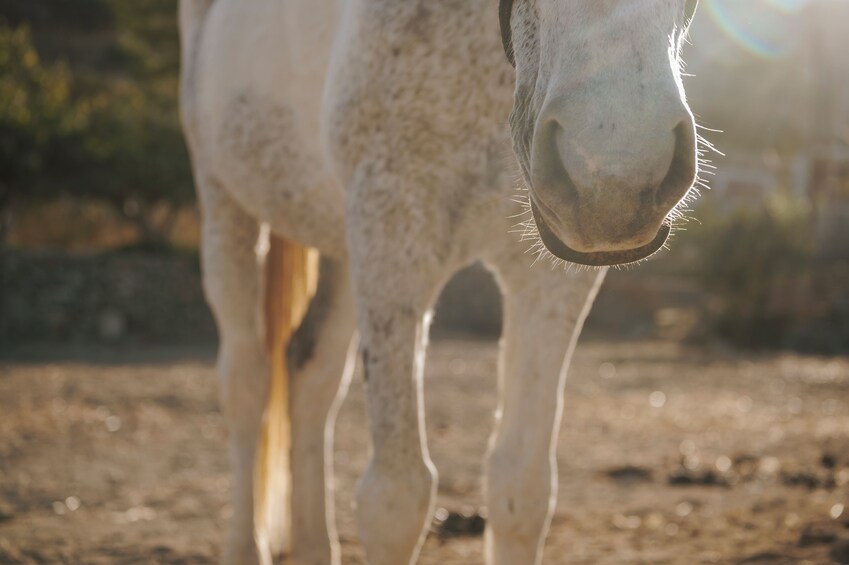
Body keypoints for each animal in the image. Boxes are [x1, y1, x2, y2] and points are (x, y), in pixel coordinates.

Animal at [177, 2, 696, 560]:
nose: (614, 164)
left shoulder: (546, 280)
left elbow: (521, 489)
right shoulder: (392, 235)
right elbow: (395, 500)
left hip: (343, 242)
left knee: (310, 375)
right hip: (226, 204)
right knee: (247, 384)